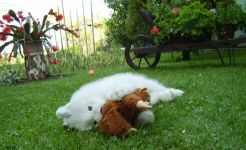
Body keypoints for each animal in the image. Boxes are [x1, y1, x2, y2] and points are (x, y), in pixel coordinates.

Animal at [55, 72, 183, 131]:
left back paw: (176, 92)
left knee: (160, 87)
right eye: (94, 123)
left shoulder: (120, 83)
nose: (101, 111)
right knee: (157, 94)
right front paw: (144, 118)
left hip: (145, 82)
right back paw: (167, 95)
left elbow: (121, 89)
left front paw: (116, 93)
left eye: (89, 107)